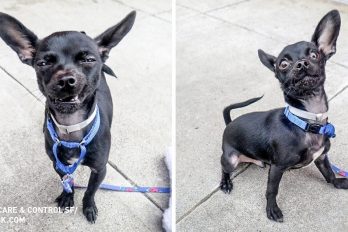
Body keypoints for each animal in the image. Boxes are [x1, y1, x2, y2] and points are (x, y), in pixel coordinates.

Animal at [0, 10, 136, 223]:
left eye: (88, 60)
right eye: (43, 63)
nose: (65, 80)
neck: (71, 126)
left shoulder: (100, 170)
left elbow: (90, 191)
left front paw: (88, 206)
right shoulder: (59, 165)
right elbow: (67, 182)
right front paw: (67, 197)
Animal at [220, 10, 348, 222]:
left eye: (314, 54)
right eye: (283, 64)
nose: (301, 64)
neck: (306, 120)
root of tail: (228, 125)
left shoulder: (321, 158)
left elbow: (329, 174)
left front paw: (339, 183)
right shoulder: (278, 167)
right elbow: (272, 190)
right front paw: (272, 209)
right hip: (230, 159)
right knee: (223, 167)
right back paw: (225, 183)